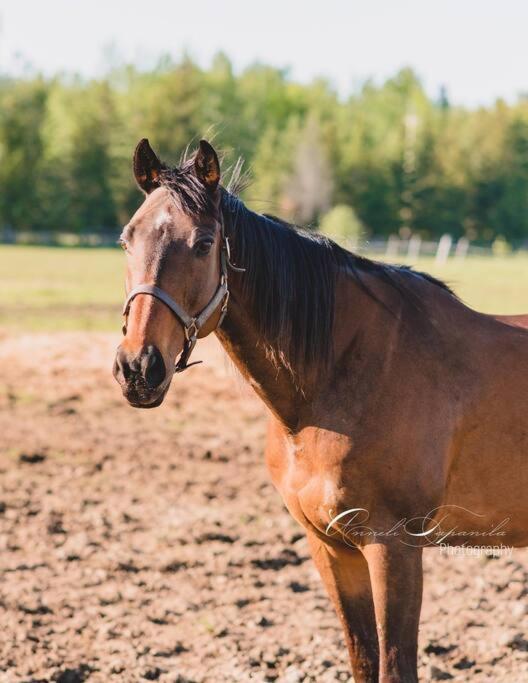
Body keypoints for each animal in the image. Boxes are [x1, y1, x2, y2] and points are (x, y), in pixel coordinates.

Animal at [112, 140, 528, 683]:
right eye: (126, 240)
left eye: (203, 243)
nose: (138, 368)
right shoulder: (331, 548)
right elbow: (362, 658)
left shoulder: (395, 548)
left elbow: (395, 666)